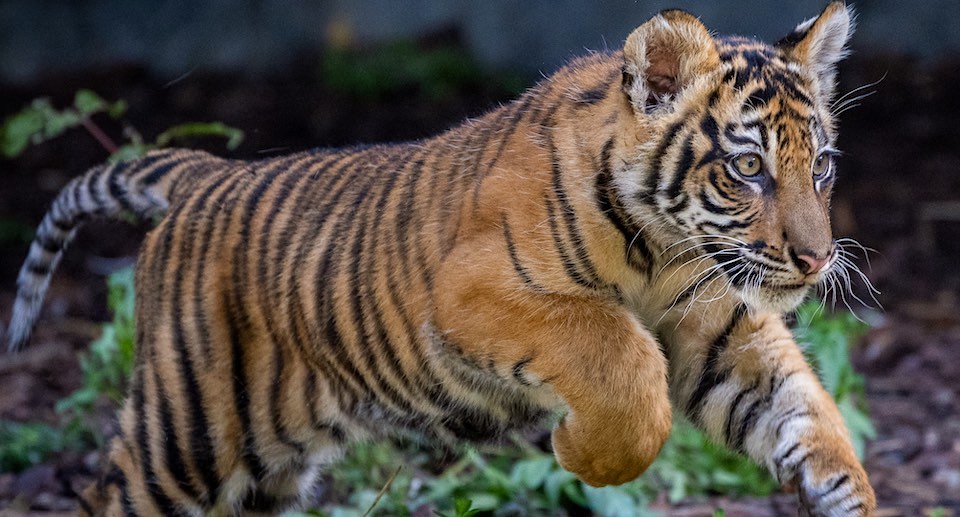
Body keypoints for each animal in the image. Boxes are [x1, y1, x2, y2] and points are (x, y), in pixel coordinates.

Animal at [5, 2, 876, 512]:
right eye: (748, 167)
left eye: (822, 165)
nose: (813, 259)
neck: (668, 250)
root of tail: (206, 175)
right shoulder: (473, 294)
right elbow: (618, 354)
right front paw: (583, 455)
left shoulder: (719, 327)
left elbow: (804, 406)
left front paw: (846, 492)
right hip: (184, 437)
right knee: (109, 494)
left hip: (265, 470)